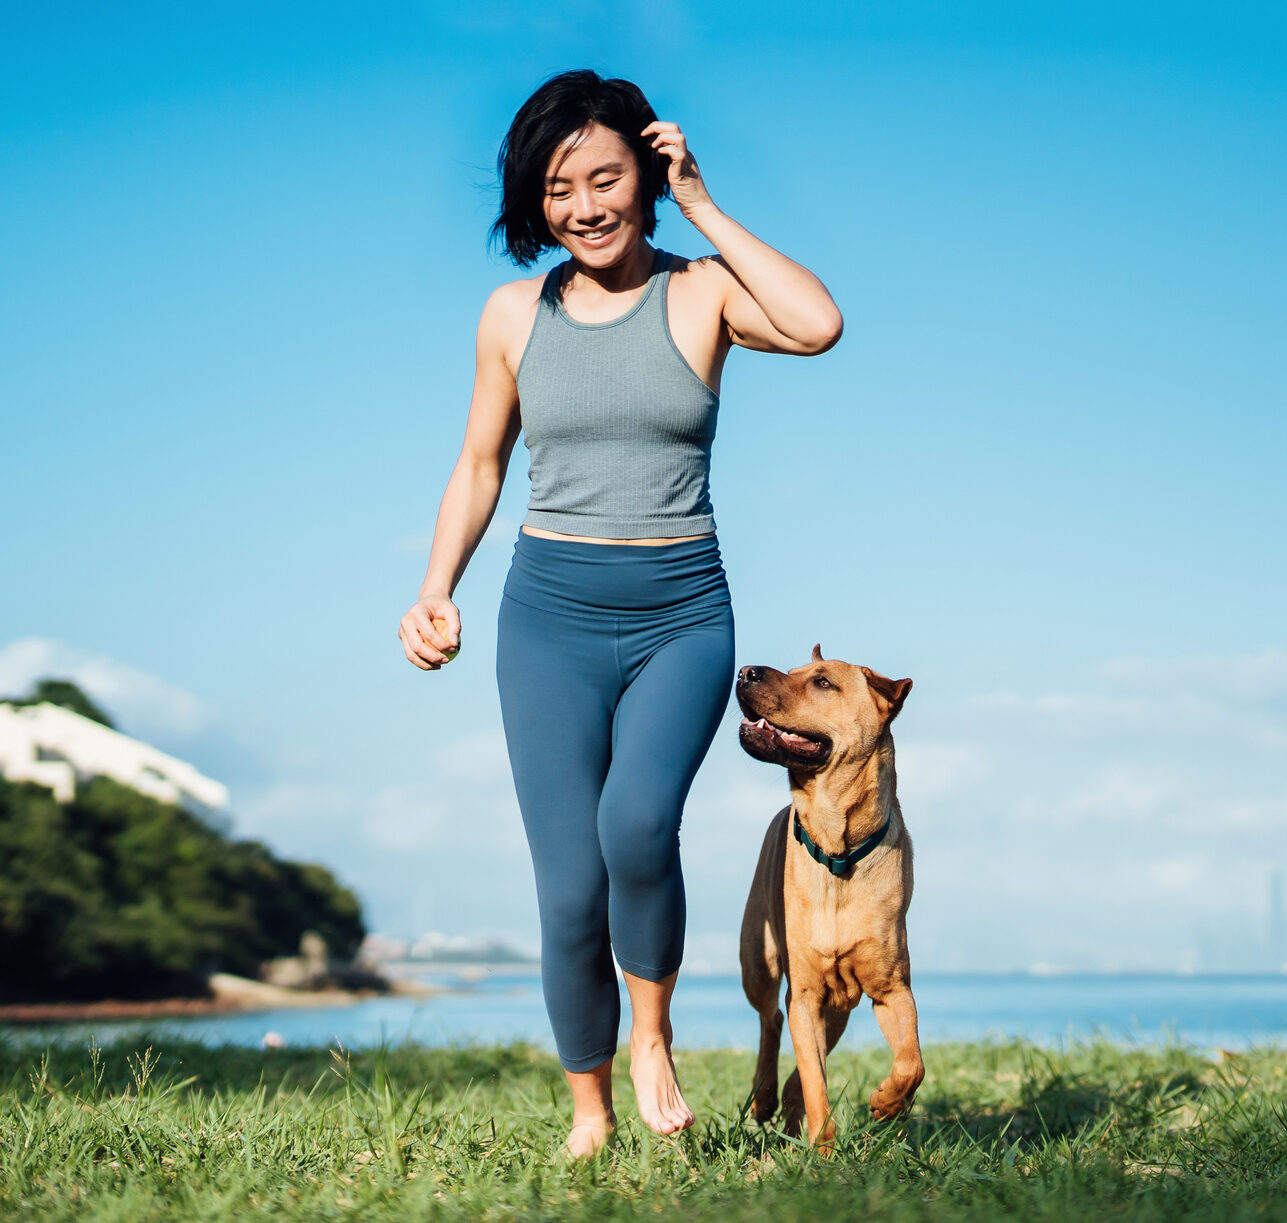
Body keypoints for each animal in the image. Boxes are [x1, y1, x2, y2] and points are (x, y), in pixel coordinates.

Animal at [736, 646, 926, 1153]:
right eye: (794, 671)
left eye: (823, 682)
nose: (744, 671)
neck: (838, 852)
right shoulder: (804, 993)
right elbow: (815, 1080)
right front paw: (823, 1148)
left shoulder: (891, 987)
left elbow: (912, 1061)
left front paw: (887, 1102)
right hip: (758, 962)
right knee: (770, 1020)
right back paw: (765, 1096)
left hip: (839, 1008)